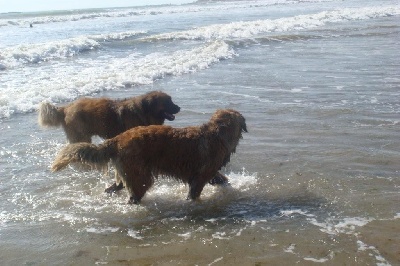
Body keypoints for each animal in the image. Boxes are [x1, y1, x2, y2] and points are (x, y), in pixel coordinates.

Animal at [51, 109, 247, 205]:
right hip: (140, 177)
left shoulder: (210, 173)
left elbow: (222, 179)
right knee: (134, 196)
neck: (217, 132)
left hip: (125, 175)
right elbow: (195, 192)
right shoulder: (200, 177)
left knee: (113, 188)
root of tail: (116, 139)